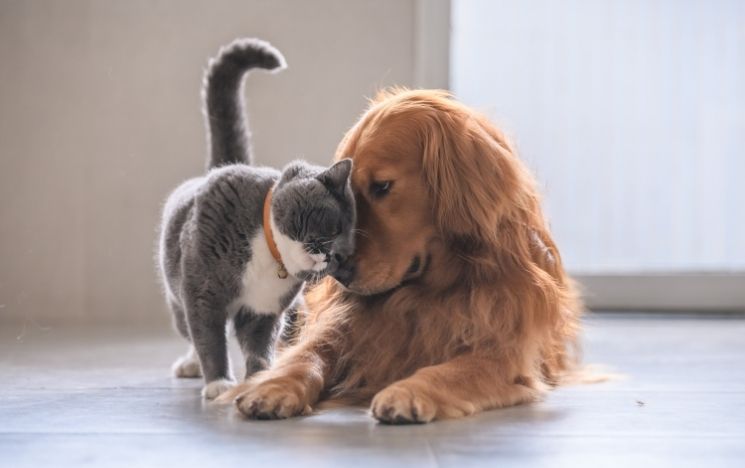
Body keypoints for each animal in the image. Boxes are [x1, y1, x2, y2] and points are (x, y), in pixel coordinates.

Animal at [156, 38, 354, 400]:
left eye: (346, 252)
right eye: (334, 228)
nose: (332, 255)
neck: (268, 253)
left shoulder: (264, 309)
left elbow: (259, 345)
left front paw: (260, 378)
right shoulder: (202, 292)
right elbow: (209, 337)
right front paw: (219, 382)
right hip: (176, 293)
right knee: (189, 329)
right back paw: (191, 365)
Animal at [221, 88, 580, 424]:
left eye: (382, 186)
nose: (339, 274)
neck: (427, 292)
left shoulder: (504, 353)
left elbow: (451, 370)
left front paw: (408, 392)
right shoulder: (342, 327)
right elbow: (306, 355)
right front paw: (272, 386)